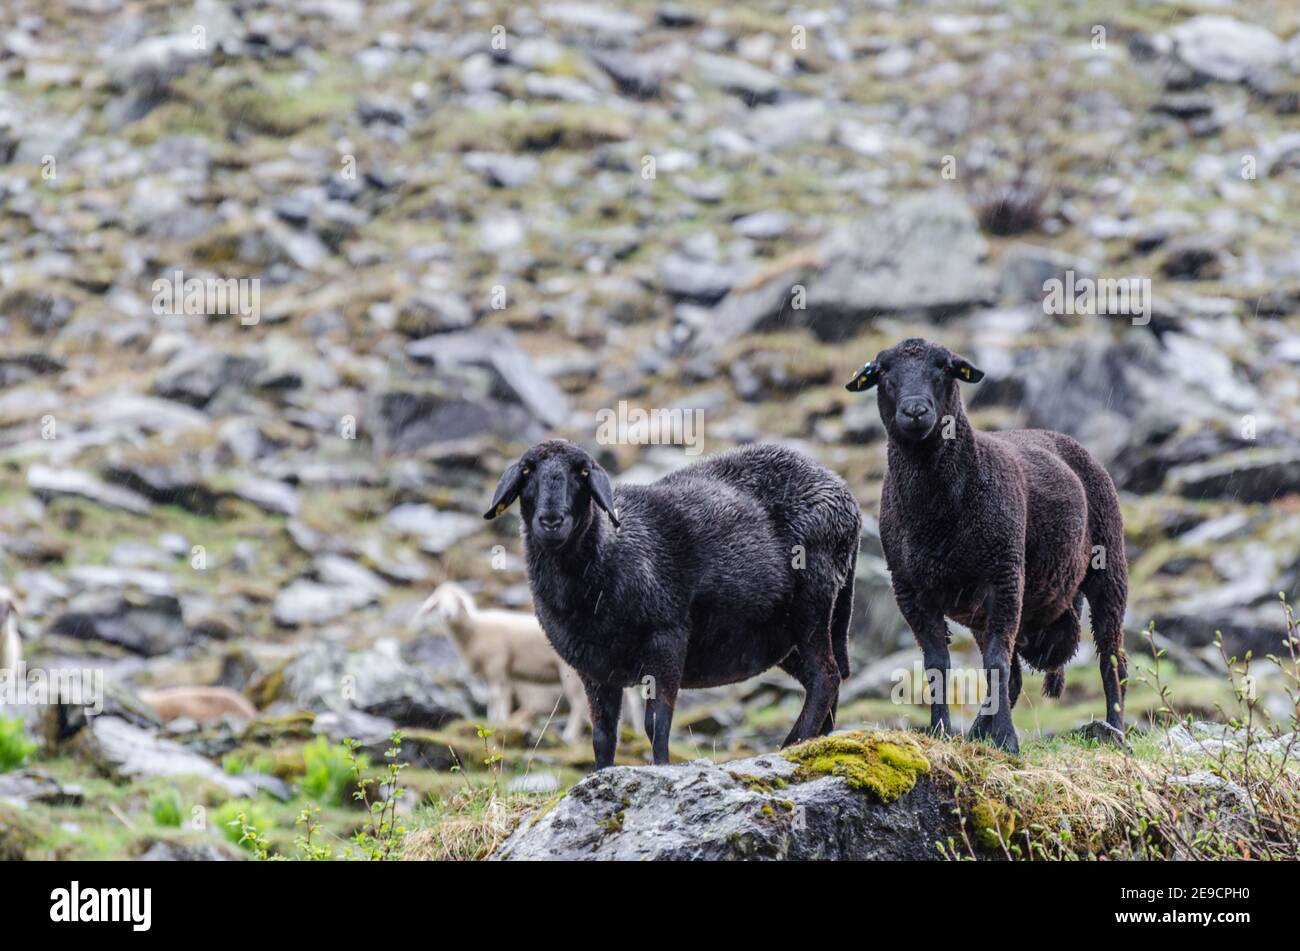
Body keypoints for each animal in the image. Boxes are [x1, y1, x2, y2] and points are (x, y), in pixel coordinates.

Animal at [413, 579, 642, 743]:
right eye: (438, 603)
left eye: (457, 601)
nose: (447, 614)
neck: (474, 629)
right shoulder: (500, 671)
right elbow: (496, 699)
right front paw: (495, 721)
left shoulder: (496, 664)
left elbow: (497, 697)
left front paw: (497, 721)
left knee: (579, 704)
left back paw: (570, 734)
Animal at [483, 441, 857, 769]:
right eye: (527, 471)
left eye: (583, 473)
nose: (551, 521)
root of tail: (841, 491)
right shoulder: (594, 668)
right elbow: (603, 735)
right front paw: (600, 774)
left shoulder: (666, 638)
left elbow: (656, 721)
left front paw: (661, 766)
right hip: (782, 636)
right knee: (826, 677)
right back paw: (820, 741)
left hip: (812, 603)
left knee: (825, 676)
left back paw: (795, 743)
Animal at [847, 337, 1123, 753]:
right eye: (884, 375)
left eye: (944, 369)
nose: (915, 411)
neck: (937, 514)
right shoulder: (910, 591)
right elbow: (937, 665)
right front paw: (940, 732)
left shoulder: (1004, 577)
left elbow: (995, 661)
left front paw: (1008, 740)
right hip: (983, 608)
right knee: (1015, 678)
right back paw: (978, 731)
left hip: (1107, 565)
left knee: (1111, 654)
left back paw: (1116, 729)